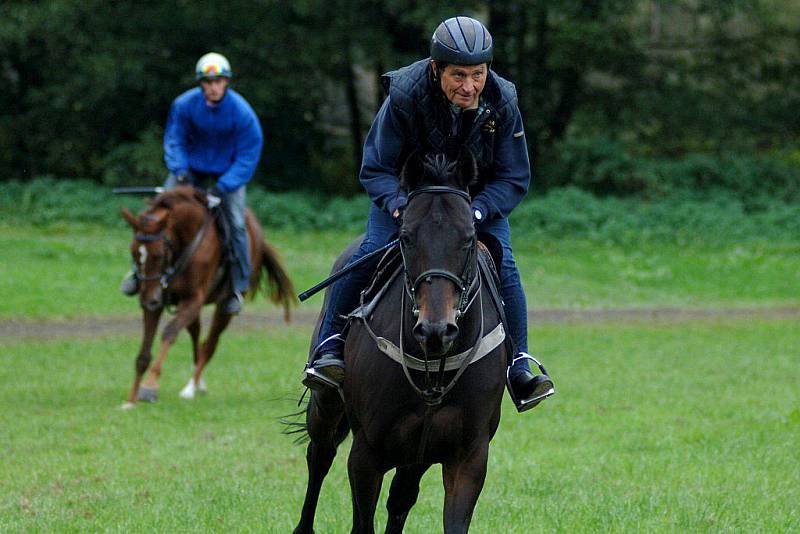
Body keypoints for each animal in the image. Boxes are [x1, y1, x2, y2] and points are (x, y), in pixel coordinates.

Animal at [119, 188, 294, 410]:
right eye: (134, 253)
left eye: (158, 255)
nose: (146, 300)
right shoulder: (160, 302)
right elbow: (144, 353)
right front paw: (130, 400)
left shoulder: (193, 300)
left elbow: (169, 333)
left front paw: (149, 386)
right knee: (197, 336)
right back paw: (198, 383)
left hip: (223, 308)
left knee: (210, 344)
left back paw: (191, 387)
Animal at [296, 152, 510, 534]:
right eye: (407, 237)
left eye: (469, 238)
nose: (436, 329)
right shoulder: (367, 453)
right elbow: (361, 521)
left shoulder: (468, 456)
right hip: (328, 406)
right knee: (319, 456)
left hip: (417, 453)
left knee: (401, 497)